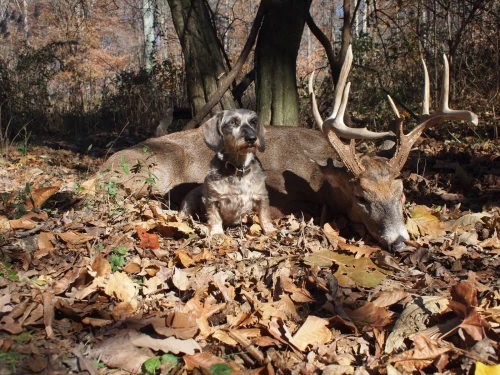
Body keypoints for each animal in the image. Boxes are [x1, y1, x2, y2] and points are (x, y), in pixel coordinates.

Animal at [180, 108, 276, 236]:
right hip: (189, 202)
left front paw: (270, 230)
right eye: (233, 122)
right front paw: (217, 233)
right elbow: (215, 218)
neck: (238, 170)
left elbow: (264, 216)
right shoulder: (213, 200)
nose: (252, 138)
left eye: (253, 121)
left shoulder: (261, 196)